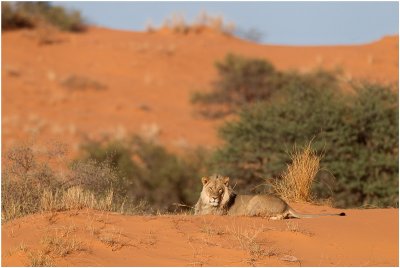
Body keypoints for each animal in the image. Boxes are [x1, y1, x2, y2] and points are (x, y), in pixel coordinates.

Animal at [195, 174, 346, 220]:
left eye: (220, 190)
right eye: (211, 188)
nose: (214, 198)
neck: (206, 203)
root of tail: (286, 204)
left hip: (256, 201)